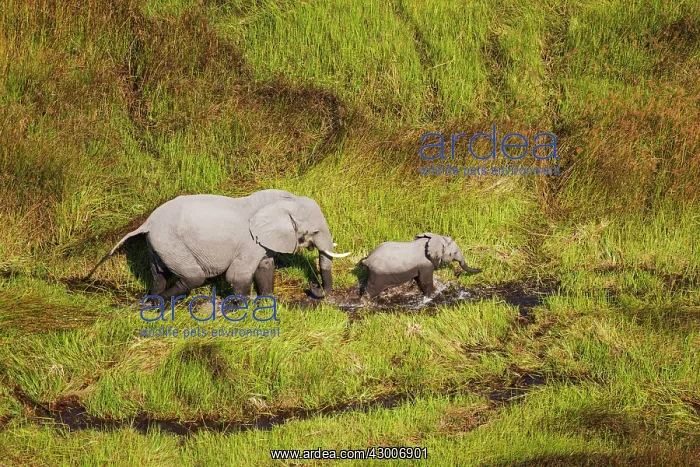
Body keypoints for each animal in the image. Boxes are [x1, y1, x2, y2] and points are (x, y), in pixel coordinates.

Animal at [87, 189, 350, 300]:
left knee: (158, 274)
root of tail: (147, 222)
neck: (285, 200)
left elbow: (265, 268)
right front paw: (242, 307)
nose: (313, 288)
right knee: (193, 278)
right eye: (315, 232)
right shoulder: (249, 243)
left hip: (158, 244)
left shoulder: (262, 243)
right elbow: (237, 275)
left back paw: (153, 301)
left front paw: (266, 301)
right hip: (172, 242)